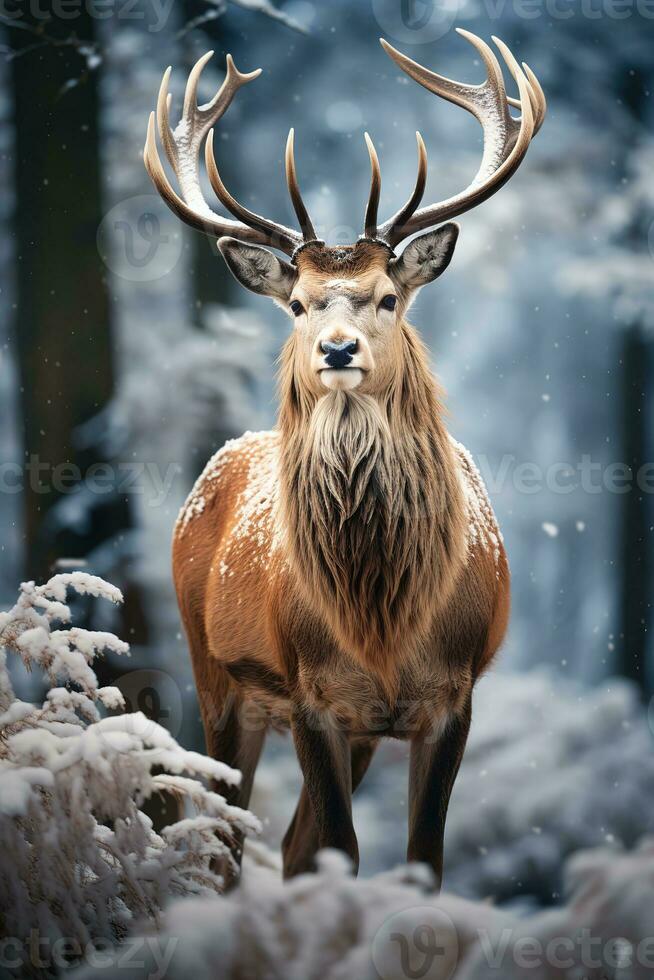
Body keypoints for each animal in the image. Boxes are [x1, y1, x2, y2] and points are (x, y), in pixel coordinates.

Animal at [145, 28, 548, 888]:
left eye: (387, 297)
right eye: (297, 304)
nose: (336, 349)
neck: (382, 617)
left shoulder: (452, 695)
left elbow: (421, 859)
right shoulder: (312, 692)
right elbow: (336, 850)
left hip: (349, 723)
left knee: (289, 842)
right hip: (214, 673)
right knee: (226, 835)